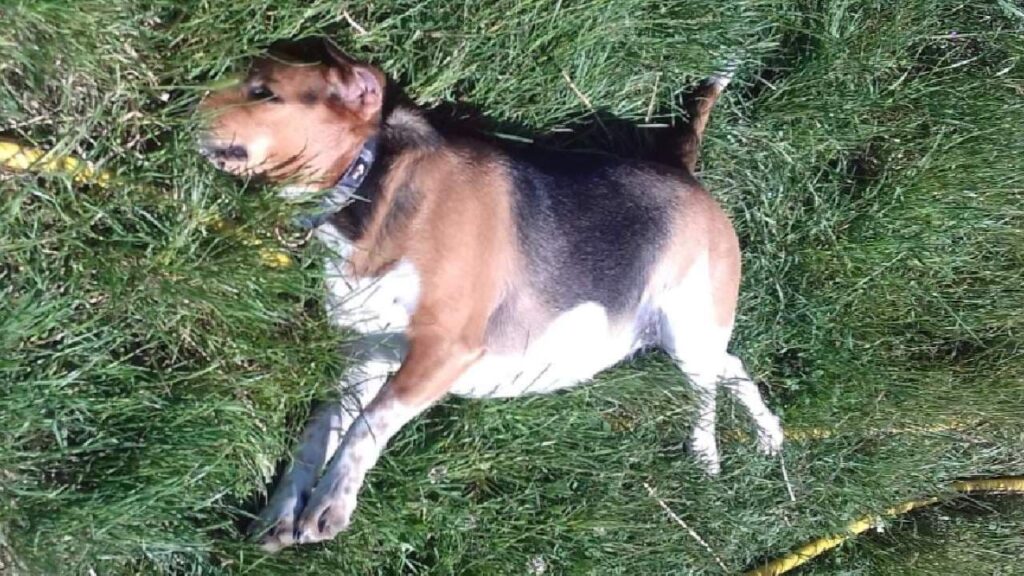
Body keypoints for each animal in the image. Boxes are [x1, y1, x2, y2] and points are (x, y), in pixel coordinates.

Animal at [195, 38, 778, 549]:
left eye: (265, 93)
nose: (182, 104)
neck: (366, 188)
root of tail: (683, 170)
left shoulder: (445, 349)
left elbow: (370, 422)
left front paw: (329, 504)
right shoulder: (364, 357)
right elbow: (318, 432)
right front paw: (279, 513)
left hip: (686, 325)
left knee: (706, 390)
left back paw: (706, 453)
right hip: (681, 335)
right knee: (732, 366)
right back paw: (770, 434)